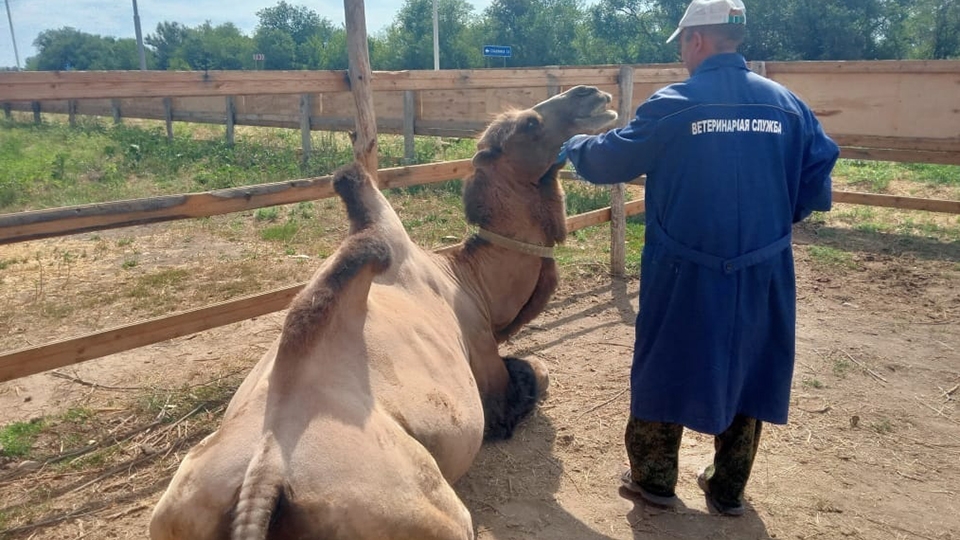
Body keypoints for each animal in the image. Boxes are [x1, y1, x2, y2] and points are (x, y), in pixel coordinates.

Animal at [148, 84, 616, 540]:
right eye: (530, 123)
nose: (592, 93)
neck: (471, 280)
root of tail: (263, 480)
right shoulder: (484, 360)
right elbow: (535, 374)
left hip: (176, 515)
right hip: (424, 513)